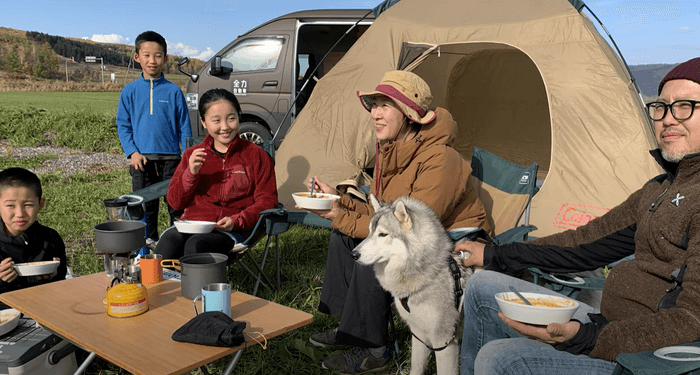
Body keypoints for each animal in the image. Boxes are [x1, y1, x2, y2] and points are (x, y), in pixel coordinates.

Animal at [352, 195, 474, 374]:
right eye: (369, 232)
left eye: (383, 234)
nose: (353, 254)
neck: (429, 275)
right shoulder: (418, 334)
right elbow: (416, 367)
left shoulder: (444, 343)